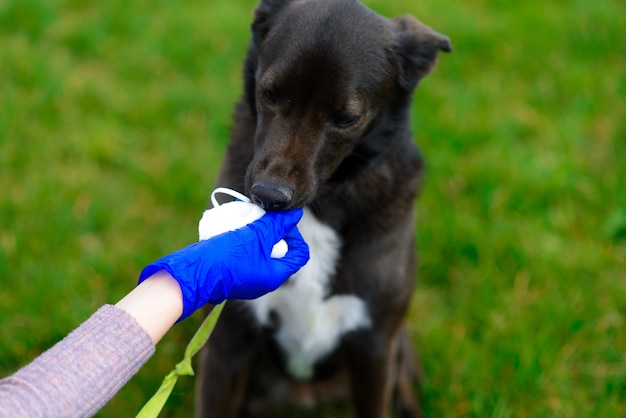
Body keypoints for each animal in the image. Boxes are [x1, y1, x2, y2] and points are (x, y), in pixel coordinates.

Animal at [195, 1, 448, 416]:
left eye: (346, 119)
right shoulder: (226, 344)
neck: (320, 206)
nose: (269, 195)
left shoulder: (375, 349)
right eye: (269, 93)